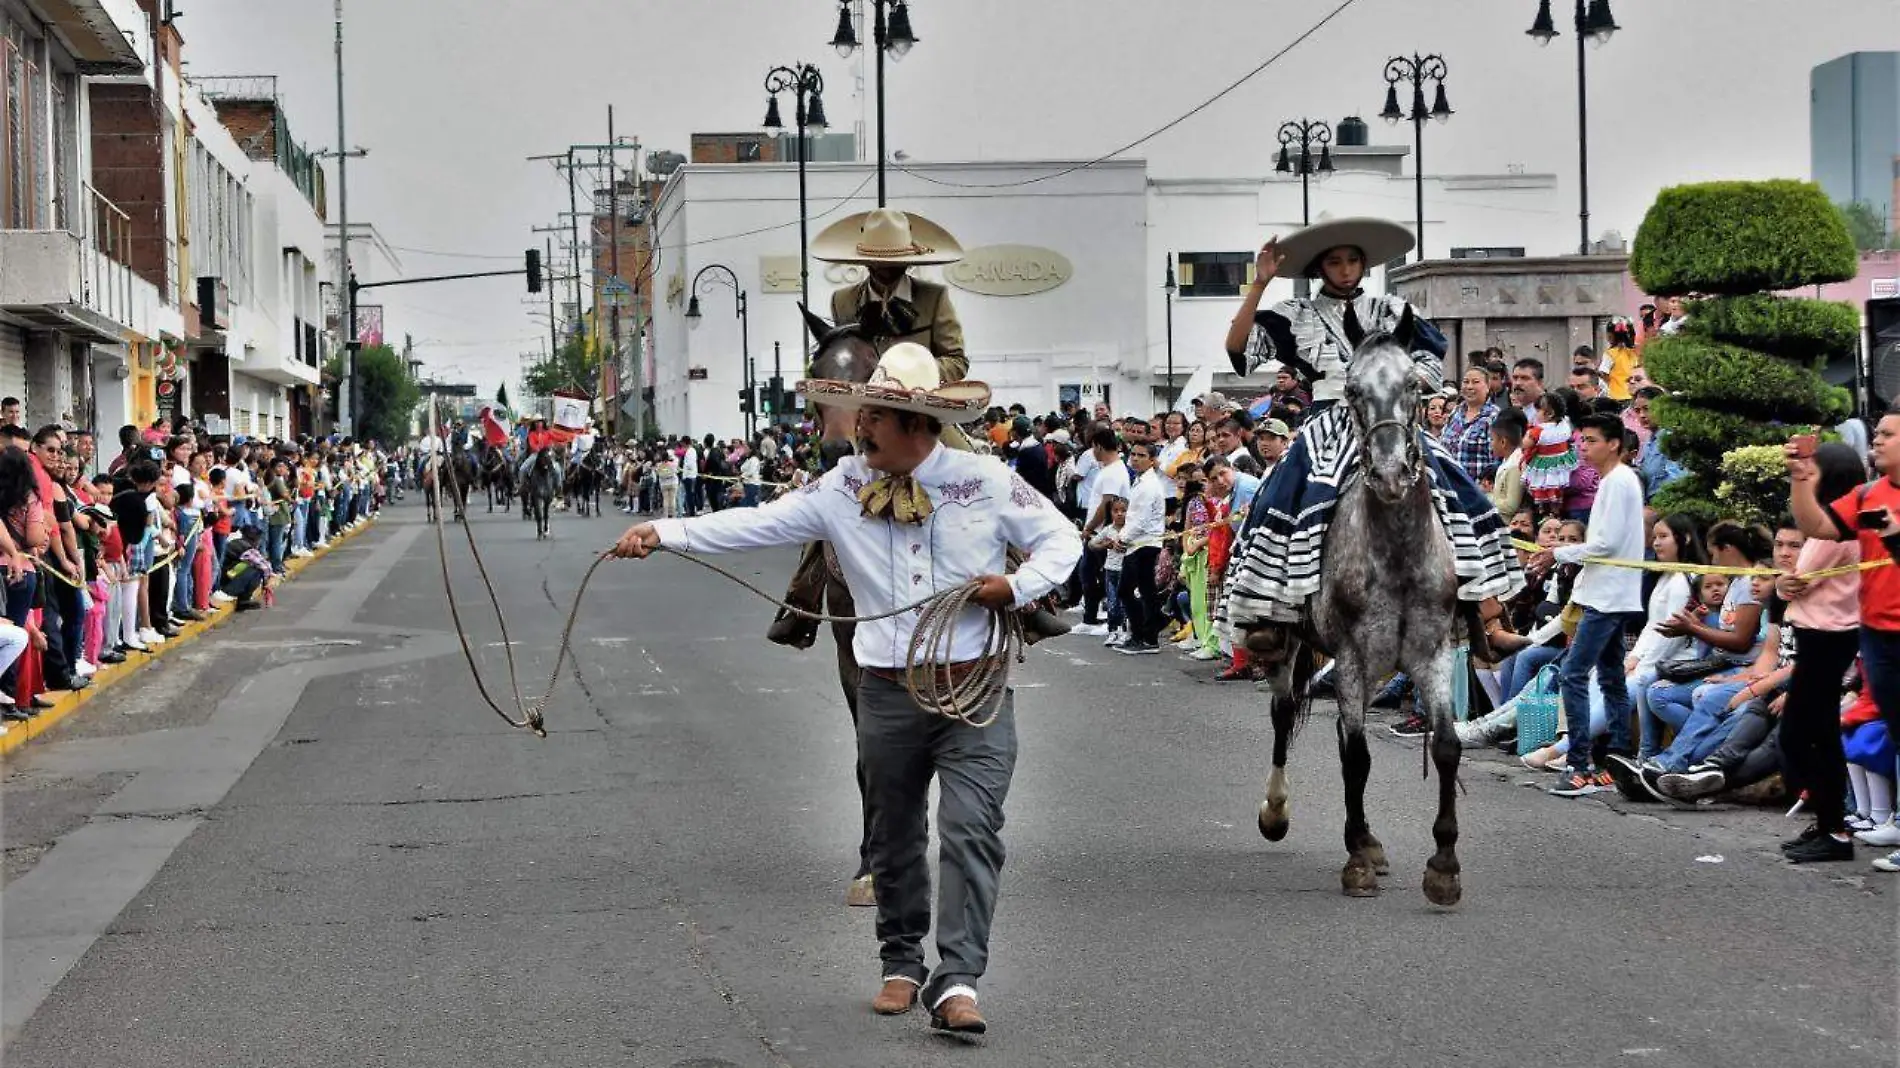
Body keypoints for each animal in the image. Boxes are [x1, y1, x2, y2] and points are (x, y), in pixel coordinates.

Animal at [1261, 307, 1466, 904]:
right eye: (1352, 390)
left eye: (1415, 386)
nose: (1392, 474)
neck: (1396, 551)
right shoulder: (1351, 653)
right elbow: (1357, 757)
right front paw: (1355, 861)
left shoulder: (1431, 650)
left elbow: (1446, 747)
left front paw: (1443, 864)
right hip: (1292, 642)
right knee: (1285, 714)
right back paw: (1277, 813)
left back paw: (1370, 840)